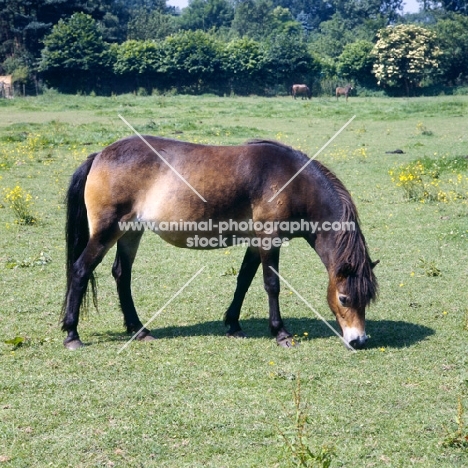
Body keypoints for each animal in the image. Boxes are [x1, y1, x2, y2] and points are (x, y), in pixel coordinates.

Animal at [62, 133, 378, 350]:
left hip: (130, 232)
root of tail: (100, 155)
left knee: (121, 275)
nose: (359, 340)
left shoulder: (255, 242)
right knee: (80, 270)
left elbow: (243, 280)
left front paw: (234, 324)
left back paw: (138, 329)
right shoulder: (269, 239)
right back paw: (72, 334)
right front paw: (281, 333)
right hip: (106, 232)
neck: (292, 181)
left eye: (367, 299)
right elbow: (271, 285)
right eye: (344, 298)